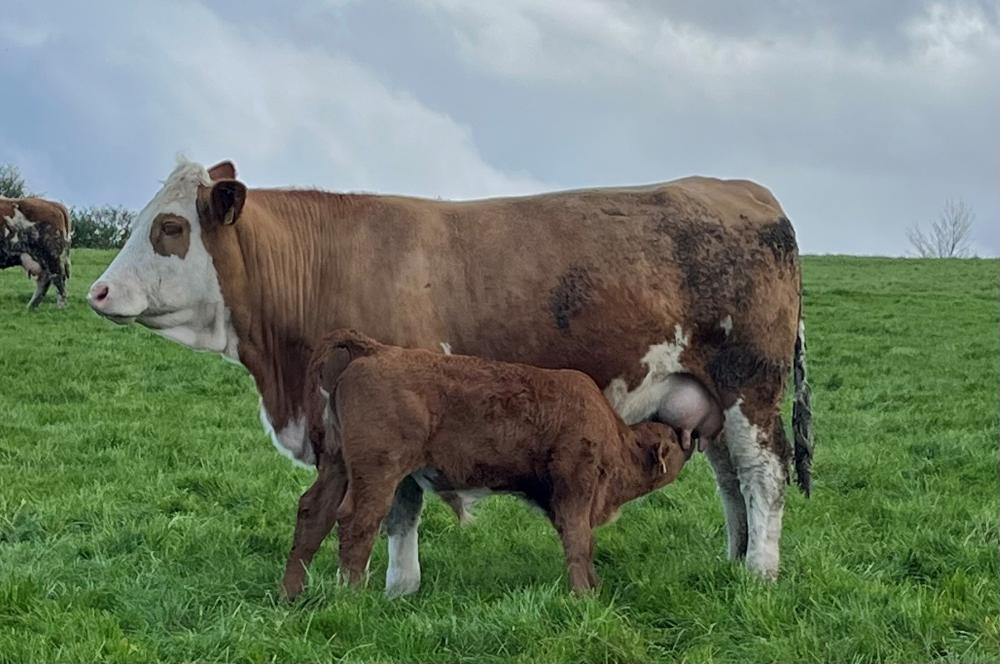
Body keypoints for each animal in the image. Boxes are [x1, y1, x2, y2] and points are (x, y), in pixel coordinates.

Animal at [301, 328, 693, 595]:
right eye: (673, 443)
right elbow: (578, 540)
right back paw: (352, 595)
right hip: (377, 473)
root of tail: (376, 350)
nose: (689, 437)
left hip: (338, 466)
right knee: (357, 522)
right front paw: (584, 595)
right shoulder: (574, 488)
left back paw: (295, 594)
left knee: (312, 511)